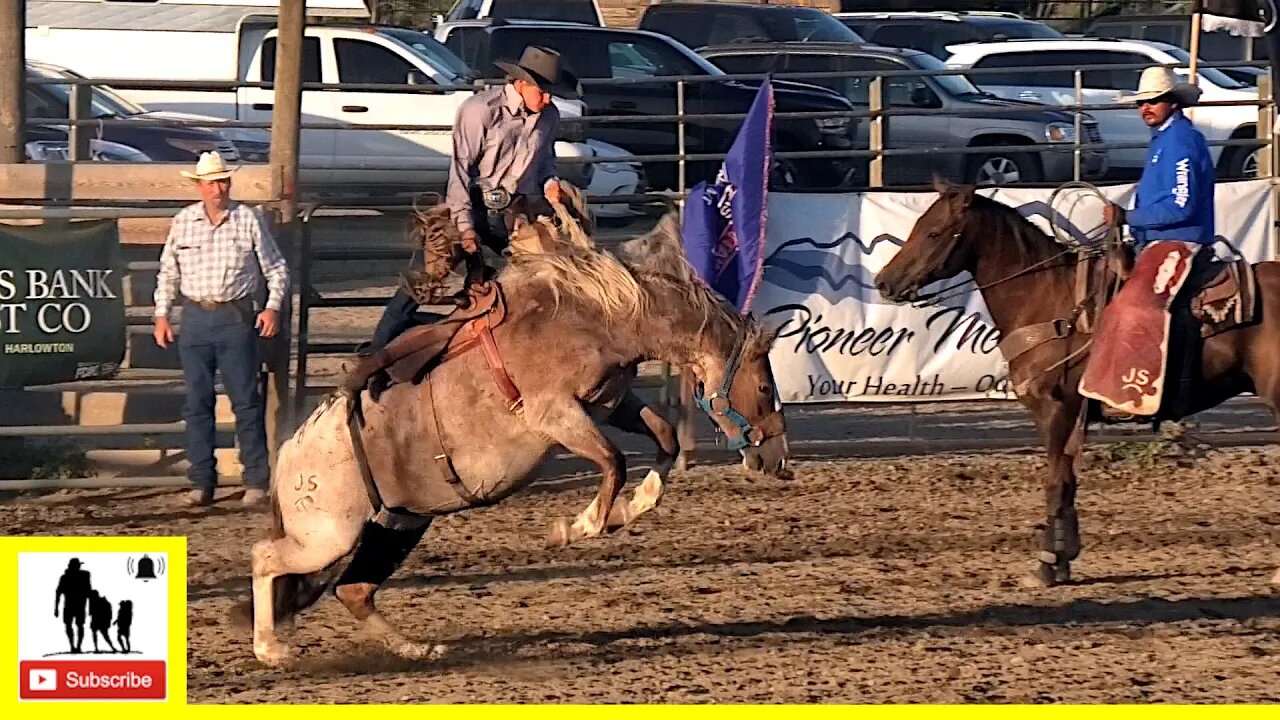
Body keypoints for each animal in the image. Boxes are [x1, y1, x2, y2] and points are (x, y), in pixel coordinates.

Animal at [235, 210, 783, 666]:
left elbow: (664, 437)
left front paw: (631, 507)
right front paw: (577, 526)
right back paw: (271, 650)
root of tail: (291, 454)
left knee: (353, 590)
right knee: (265, 557)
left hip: (399, 523)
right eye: (763, 386)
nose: (776, 457)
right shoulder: (555, 413)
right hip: (329, 535)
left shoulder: (611, 403)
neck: (596, 316)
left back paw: (417, 648)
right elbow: (612, 462)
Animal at [875, 180, 1280, 589]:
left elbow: (1055, 481)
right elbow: (1068, 481)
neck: (1048, 299)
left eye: (934, 232)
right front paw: (1064, 557)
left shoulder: (1055, 409)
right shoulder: (1070, 416)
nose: (883, 283)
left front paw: (1045, 563)